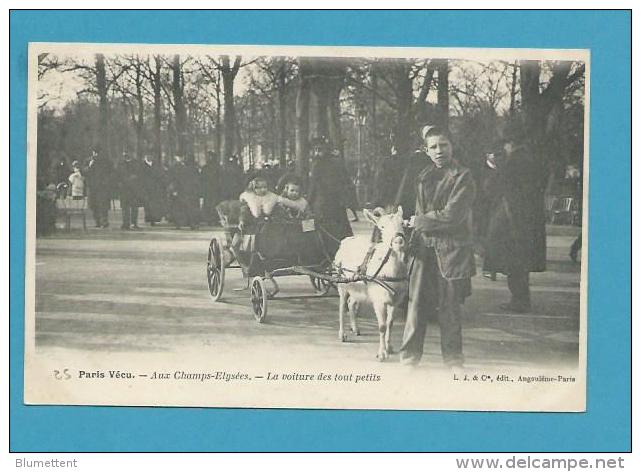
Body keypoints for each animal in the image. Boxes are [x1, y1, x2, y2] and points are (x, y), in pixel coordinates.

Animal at [332, 206, 408, 362]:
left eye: (403, 223)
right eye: (382, 227)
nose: (398, 242)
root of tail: (346, 240)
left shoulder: (396, 299)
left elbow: (390, 323)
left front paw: (389, 347)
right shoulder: (379, 300)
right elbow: (382, 326)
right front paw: (381, 354)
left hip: (358, 286)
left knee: (351, 303)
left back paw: (355, 328)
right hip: (341, 282)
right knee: (342, 306)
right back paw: (342, 334)